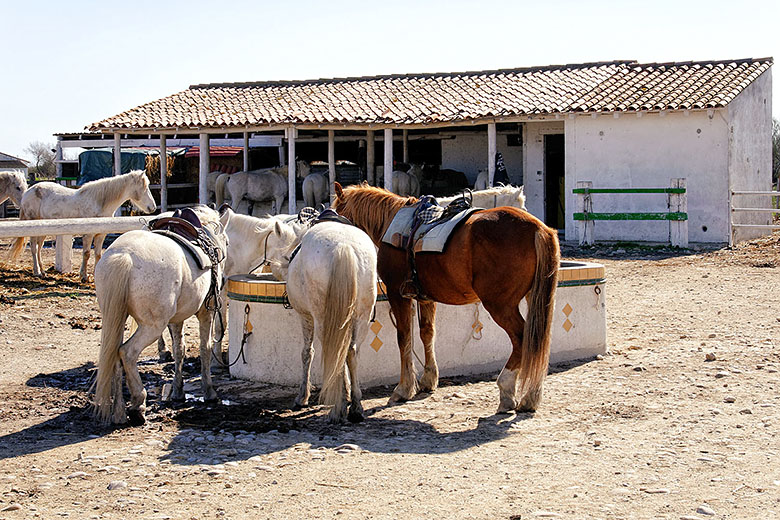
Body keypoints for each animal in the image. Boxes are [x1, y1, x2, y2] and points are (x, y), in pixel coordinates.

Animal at [7, 172, 156, 282]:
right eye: (145, 187)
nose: (153, 207)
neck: (99, 202)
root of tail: (29, 191)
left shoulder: (101, 235)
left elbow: (97, 254)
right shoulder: (88, 234)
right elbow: (87, 253)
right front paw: (84, 276)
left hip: (43, 229)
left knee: (38, 247)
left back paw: (43, 271)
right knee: (33, 248)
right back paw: (37, 271)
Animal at [92, 205, 229, 424]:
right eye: (227, 241)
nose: (223, 279)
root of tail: (124, 256)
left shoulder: (176, 318)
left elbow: (179, 350)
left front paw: (178, 392)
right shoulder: (205, 312)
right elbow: (204, 348)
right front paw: (209, 392)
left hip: (115, 318)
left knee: (115, 352)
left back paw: (119, 412)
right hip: (152, 326)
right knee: (127, 352)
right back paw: (138, 404)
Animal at [330, 183, 560, 414]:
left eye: (338, 213)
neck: (391, 221)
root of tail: (538, 229)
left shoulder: (397, 294)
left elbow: (404, 337)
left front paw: (404, 388)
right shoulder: (425, 297)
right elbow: (426, 333)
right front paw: (428, 380)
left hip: (500, 305)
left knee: (522, 338)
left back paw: (507, 389)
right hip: (534, 299)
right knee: (537, 340)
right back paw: (530, 396)